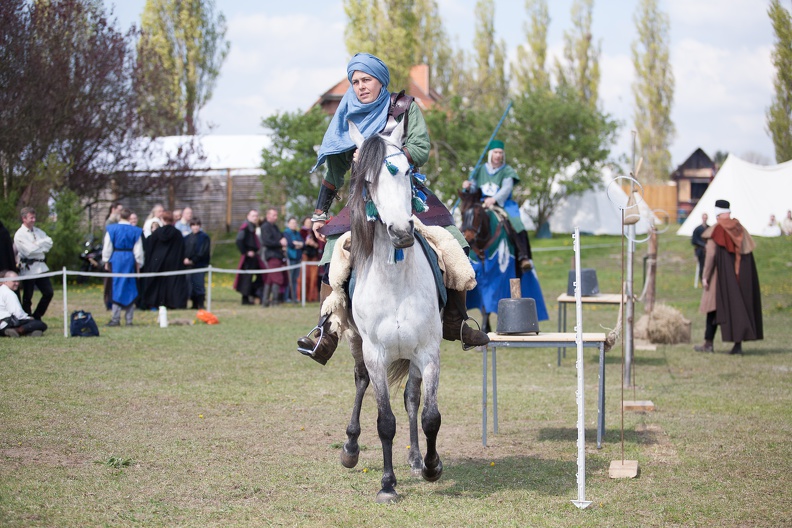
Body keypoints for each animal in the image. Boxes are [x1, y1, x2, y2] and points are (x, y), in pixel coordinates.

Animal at [338, 119, 446, 504]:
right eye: (367, 180)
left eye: (408, 172)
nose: (401, 231)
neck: (397, 282)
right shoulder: (376, 353)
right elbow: (385, 422)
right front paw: (387, 485)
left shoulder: (428, 352)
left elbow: (429, 415)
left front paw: (431, 466)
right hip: (356, 342)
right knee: (360, 382)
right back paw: (350, 448)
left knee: (412, 399)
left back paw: (415, 458)